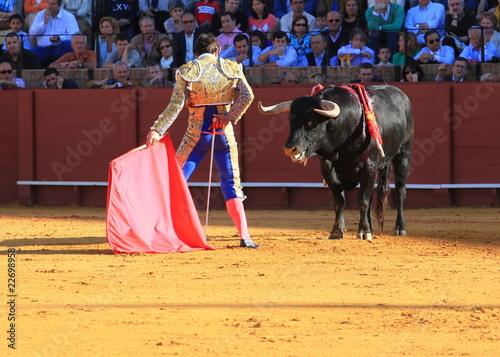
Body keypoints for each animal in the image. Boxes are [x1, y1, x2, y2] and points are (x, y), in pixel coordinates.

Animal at [258, 83, 414, 239]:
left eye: (310, 122)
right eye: (291, 121)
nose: (290, 149)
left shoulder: (368, 168)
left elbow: (362, 200)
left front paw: (363, 231)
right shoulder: (328, 170)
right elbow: (339, 201)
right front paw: (337, 231)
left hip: (403, 154)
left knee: (400, 191)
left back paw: (399, 228)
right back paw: (371, 228)